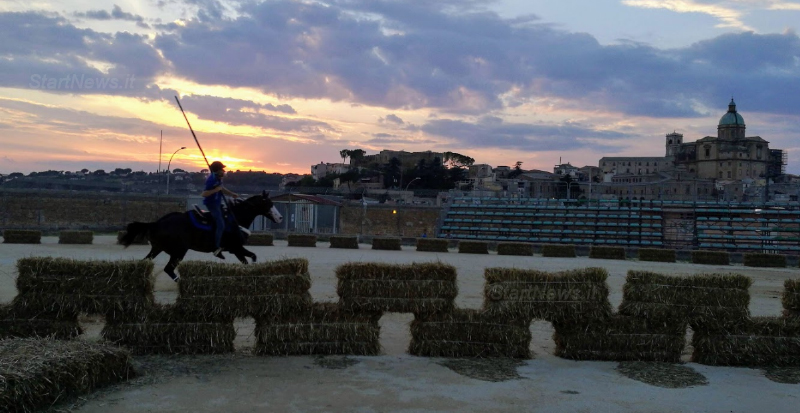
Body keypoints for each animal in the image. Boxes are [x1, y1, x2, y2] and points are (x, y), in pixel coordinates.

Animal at [117, 190, 282, 280]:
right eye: (268, 203)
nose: (280, 218)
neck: (235, 218)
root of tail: (157, 223)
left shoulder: (236, 250)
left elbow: (247, 261)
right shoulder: (236, 247)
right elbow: (252, 257)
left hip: (157, 248)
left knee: (145, 262)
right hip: (178, 252)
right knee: (168, 269)